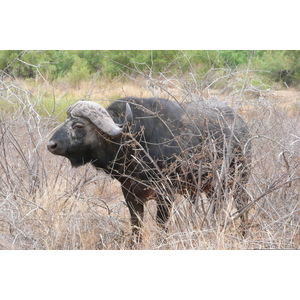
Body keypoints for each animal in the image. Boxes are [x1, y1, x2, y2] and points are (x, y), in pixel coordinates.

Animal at [48, 98, 252, 241]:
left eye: (78, 125)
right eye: (67, 121)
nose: (51, 145)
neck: (133, 141)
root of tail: (242, 127)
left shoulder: (165, 194)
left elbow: (162, 224)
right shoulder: (130, 193)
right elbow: (136, 225)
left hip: (240, 179)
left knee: (242, 204)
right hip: (212, 188)